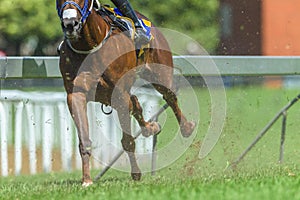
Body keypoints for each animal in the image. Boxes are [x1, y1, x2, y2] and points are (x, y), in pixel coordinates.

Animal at [56, 0, 196, 186]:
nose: (70, 24)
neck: (90, 46)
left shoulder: (119, 94)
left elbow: (127, 141)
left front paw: (136, 173)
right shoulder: (76, 94)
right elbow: (84, 140)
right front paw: (86, 180)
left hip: (160, 72)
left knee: (170, 96)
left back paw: (187, 127)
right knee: (136, 103)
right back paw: (151, 127)